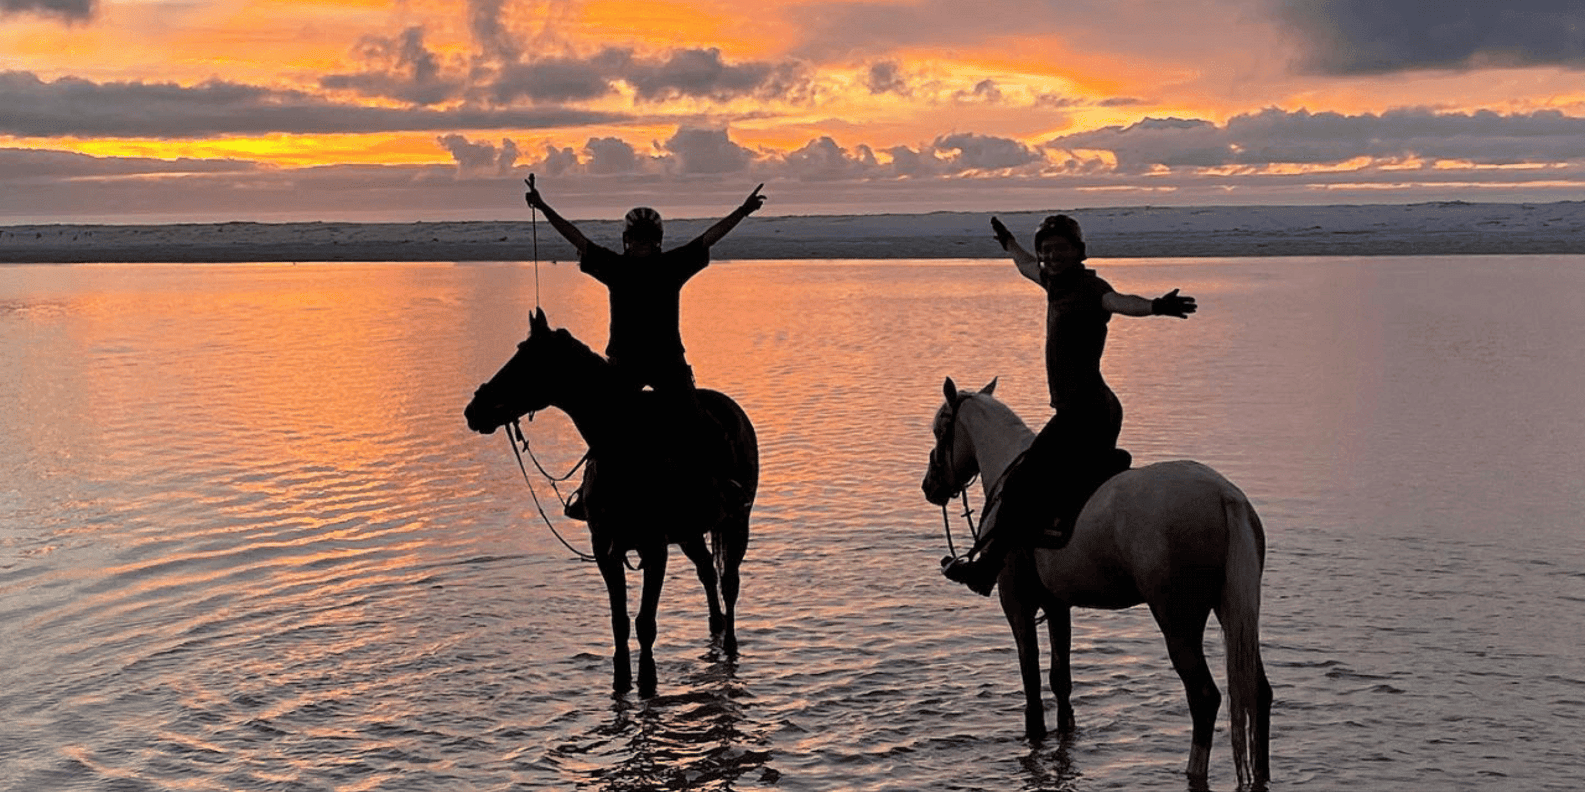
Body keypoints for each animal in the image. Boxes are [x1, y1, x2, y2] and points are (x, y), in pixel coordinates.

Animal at [462, 307, 757, 693]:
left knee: (729, 583)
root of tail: (733, 410)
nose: (474, 410)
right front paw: (621, 682)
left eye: (527, 361)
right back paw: (715, 625)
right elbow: (619, 623)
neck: (624, 447)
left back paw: (730, 644)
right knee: (707, 571)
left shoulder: (654, 549)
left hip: (737, 522)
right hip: (689, 533)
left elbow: (645, 623)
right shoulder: (606, 550)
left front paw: (646, 683)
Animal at [925, 378, 1268, 792]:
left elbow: (1032, 684)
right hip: (1232, 610)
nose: (929, 485)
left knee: (1203, 697)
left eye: (940, 430)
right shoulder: (1057, 605)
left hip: (1178, 622)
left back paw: (1193, 771)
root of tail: (1223, 495)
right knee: (1258, 692)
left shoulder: (1017, 604)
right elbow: (1060, 680)